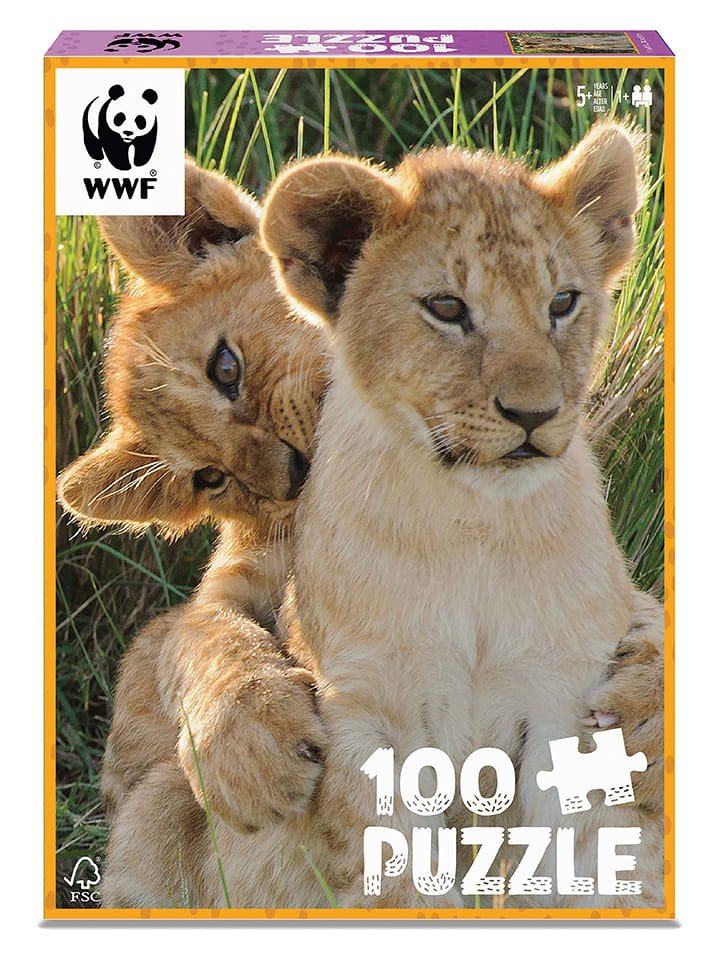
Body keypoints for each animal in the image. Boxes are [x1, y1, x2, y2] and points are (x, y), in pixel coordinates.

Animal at [92, 123, 665, 909]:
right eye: (446, 308)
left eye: (563, 302)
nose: (535, 414)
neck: (475, 524)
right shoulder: (363, 705)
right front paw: (253, 753)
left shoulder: (562, 692)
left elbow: (579, 859)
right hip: (154, 816)